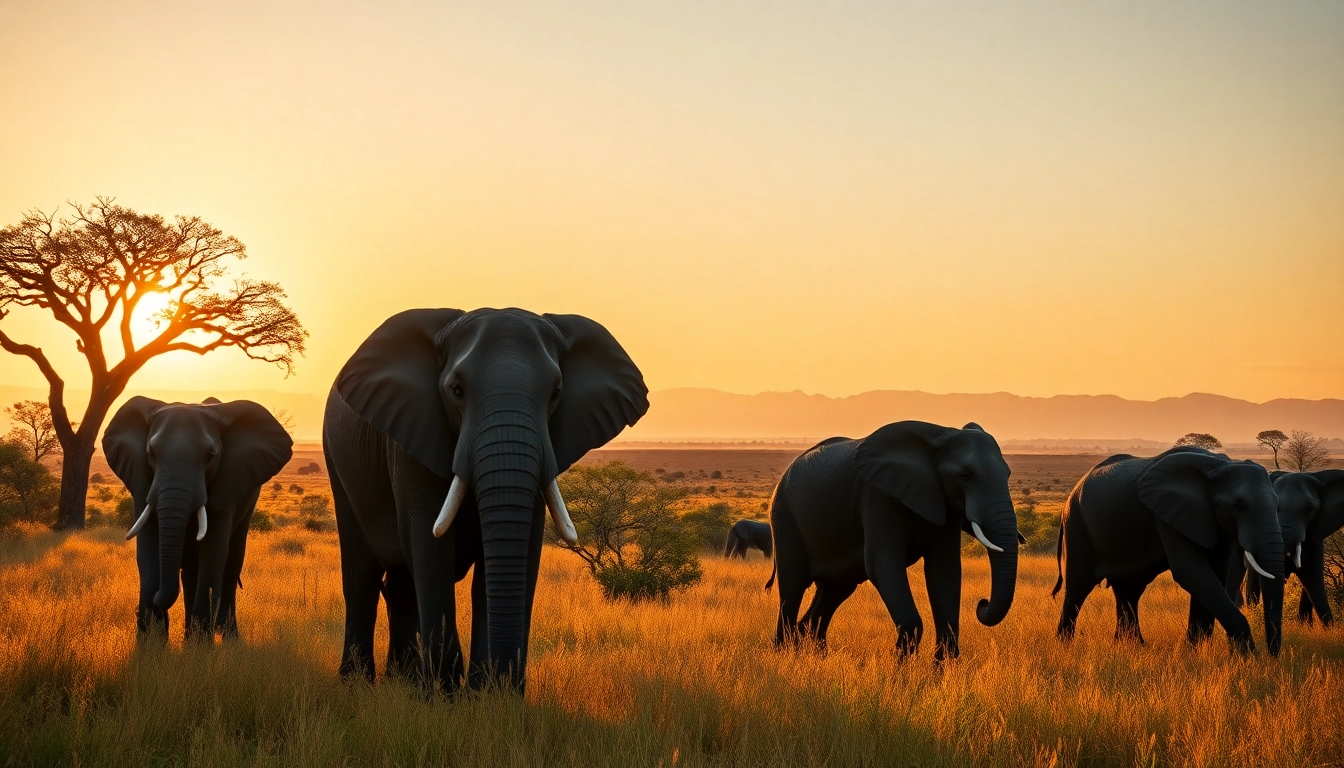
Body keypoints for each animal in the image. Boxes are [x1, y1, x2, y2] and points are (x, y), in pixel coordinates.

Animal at [103, 396, 292, 640]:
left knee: (230, 566)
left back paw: (228, 639)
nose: (158, 599)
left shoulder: (228, 482)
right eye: (151, 455)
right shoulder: (141, 480)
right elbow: (148, 548)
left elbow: (213, 553)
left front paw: (200, 646)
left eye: (211, 457)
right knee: (192, 571)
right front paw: (150, 644)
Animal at [323, 308, 648, 692]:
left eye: (556, 393)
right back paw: (359, 685)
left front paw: (490, 696)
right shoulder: (412, 435)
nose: (507, 681)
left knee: (401, 583)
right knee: (363, 577)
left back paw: (403, 683)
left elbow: (521, 551)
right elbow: (430, 546)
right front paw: (443, 696)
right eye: (456, 391)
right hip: (337, 462)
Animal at [768, 422, 1019, 661]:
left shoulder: (945, 504)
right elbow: (883, 566)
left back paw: (817, 658)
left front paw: (937, 675)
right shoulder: (877, 496)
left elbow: (944, 570)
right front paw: (902, 671)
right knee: (792, 587)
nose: (982, 603)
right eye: (965, 476)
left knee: (834, 590)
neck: (939, 437)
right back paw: (785, 656)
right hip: (784, 517)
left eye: (1008, 475)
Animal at [1053, 447, 1284, 655]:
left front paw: (1195, 651)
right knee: (1077, 589)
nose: (1271, 654)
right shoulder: (1167, 516)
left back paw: (1131, 647)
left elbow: (1215, 574)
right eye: (1237, 507)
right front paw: (1248, 657)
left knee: (1129, 590)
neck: (1218, 466)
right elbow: (1191, 572)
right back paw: (1065, 648)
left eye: (1278, 507)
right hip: (1077, 526)